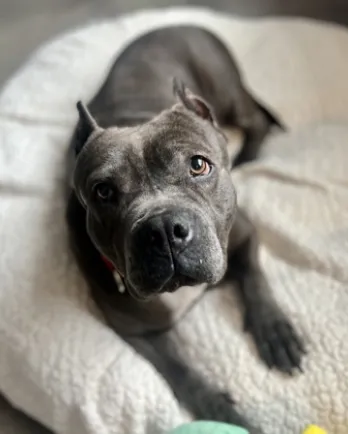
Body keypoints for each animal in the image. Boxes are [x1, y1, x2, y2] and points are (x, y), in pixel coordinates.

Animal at [66, 25, 306, 432]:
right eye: (103, 191)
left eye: (198, 165)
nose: (163, 229)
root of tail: (178, 23)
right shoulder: (136, 331)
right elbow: (180, 370)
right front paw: (220, 410)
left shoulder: (243, 235)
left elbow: (256, 280)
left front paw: (276, 332)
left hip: (226, 93)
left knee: (255, 120)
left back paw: (248, 155)